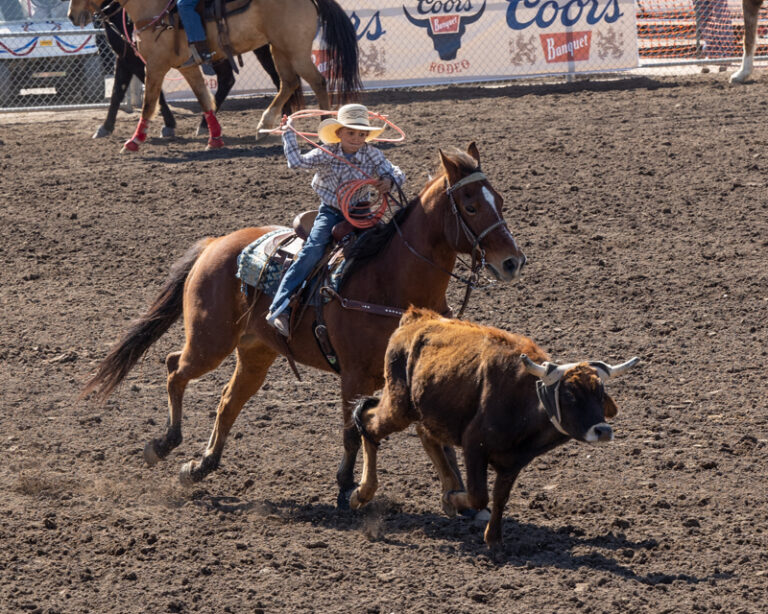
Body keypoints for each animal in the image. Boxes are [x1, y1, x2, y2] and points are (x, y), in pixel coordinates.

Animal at [66, 0, 360, 152]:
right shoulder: (185, 66)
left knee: (317, 82)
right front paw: (214, 137)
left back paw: (322, 129)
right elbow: (203, 99)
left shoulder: (154, 64)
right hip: (278, 49)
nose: (71, 15)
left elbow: (149, 102)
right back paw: (265, 126)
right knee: (288, 83)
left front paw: (134, 140)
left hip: (294, 50)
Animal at [82, 143, 528, 506]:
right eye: (470, 207)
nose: (512, 262)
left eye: (501, 201)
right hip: (210, 341)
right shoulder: (353, 376)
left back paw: (201, 465)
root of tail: (215, 244)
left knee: (227, 401)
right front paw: (347, 488)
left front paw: (456, 492)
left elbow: (429, 434)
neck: (388, 282)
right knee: (175, 367)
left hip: (255, 353)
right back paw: (164, 444)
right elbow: (351, 432)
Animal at [352, 308, 640, 548]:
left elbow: (500, 497)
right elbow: (479, 496)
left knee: (425, 434)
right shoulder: (474, 445)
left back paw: (446, 486)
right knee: (368, 421)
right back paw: (362, 493)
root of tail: (416, 318)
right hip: (399, 406)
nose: (603, 431)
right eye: (569, 394)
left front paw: (494, 539)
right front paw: (453, 499)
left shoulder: (514, 462)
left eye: (600, 394)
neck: (525, 403)